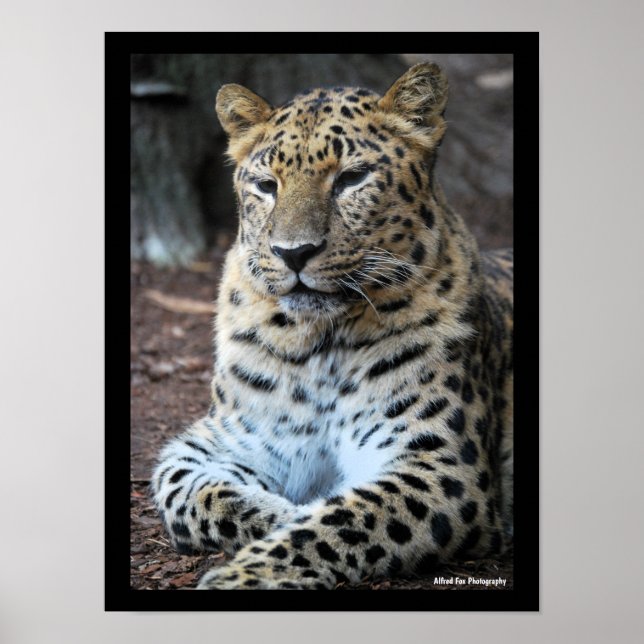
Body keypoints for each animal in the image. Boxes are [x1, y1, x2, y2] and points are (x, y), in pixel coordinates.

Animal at [151, 63, 514, 590]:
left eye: (352, 178)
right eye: (267, 185)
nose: (293, 253)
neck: (318, 342)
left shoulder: (441, 465)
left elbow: (341, 521)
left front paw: (243, 576)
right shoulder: (219, 440)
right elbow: (187, 494)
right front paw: (280, 513)